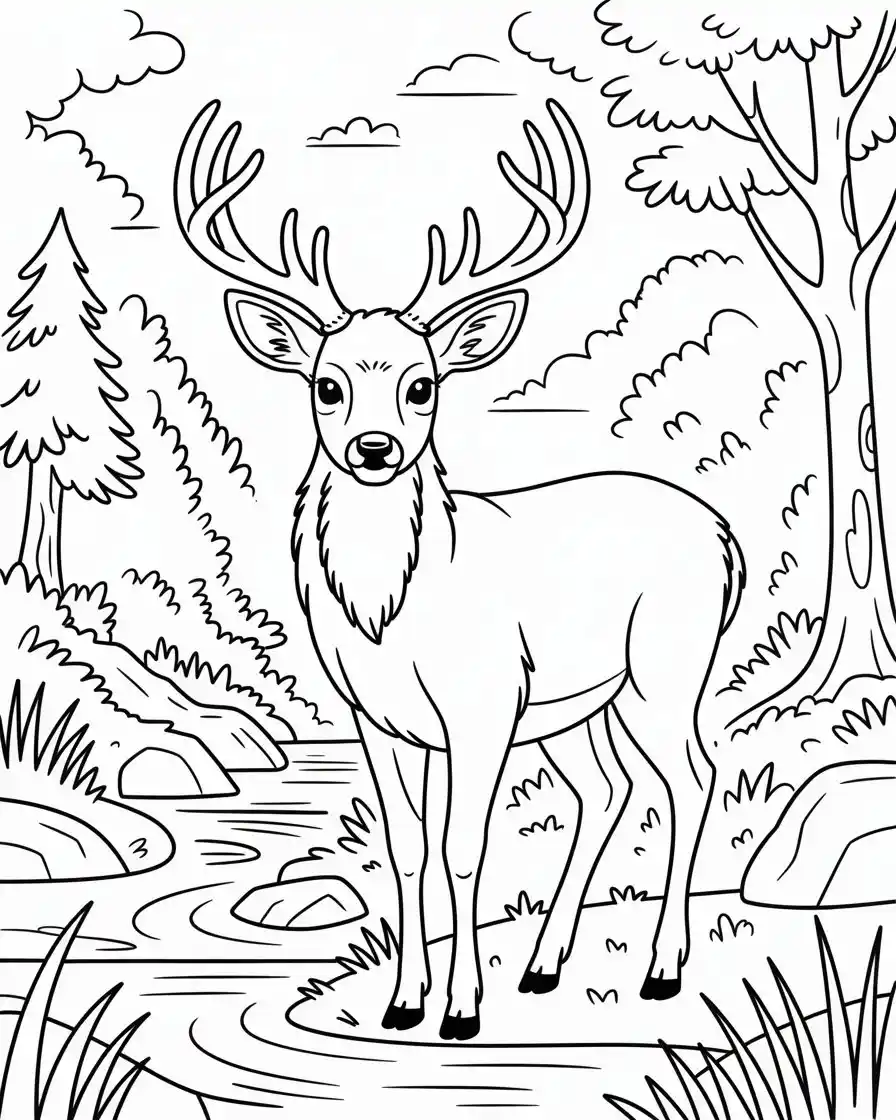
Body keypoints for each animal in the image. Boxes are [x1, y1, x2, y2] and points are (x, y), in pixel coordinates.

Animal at [174, 98, 745, 1042]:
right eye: (326, 385)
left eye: (423, 384)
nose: (375, 448)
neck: (389, 616)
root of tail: (726, 535)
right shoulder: (377, 716)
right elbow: (408, 848)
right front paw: (404, 1002)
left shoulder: (482, 703)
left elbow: (466, 849)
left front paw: (461, 1010)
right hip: (578, 704)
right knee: (610, 789)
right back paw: (545, 967)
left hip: (668, 661)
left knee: (693, 778)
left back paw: (662, 970)